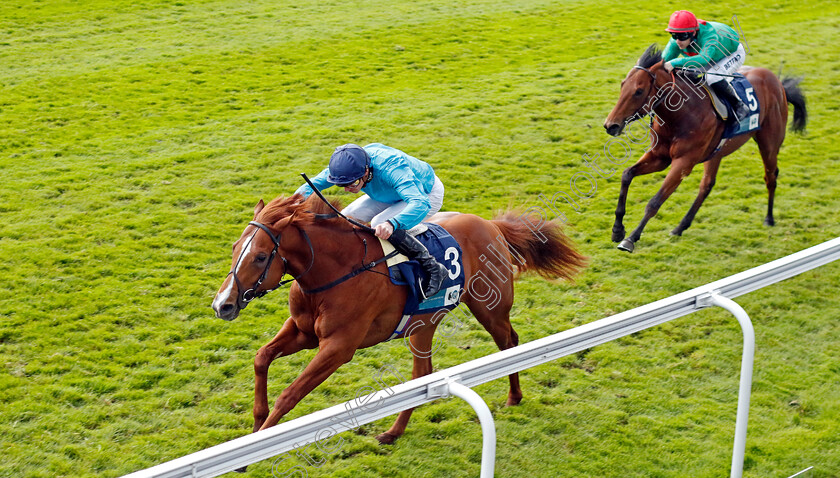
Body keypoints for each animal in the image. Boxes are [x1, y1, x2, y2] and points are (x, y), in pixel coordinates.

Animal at [210, 192, 584, 446]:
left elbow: (289, 394)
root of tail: (490, 224)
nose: (222, 305)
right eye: (234, 247)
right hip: (424, 324)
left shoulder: (338, 347)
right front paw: (255, 427)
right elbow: (262, 358)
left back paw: (512, 397)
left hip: (489, 307)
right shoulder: (303, 333)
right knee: (423, 374)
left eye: (260, 256)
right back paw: (394, 431)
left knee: (508, 343)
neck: (333, 272)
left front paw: (253, 451)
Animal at [604, 44, 808, 252]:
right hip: (716, 152)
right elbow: (627, 174)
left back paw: (769, 218)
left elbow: (655, 201)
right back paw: (680, 227)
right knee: (707, 185)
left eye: (639, 91)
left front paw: (630, 238)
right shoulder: (659, 157)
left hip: (769, 143)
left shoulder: (683, 163)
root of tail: (777, 82)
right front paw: (617, 230)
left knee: (770, 177)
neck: (682, 114)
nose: (610, 125)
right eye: (622, 85)